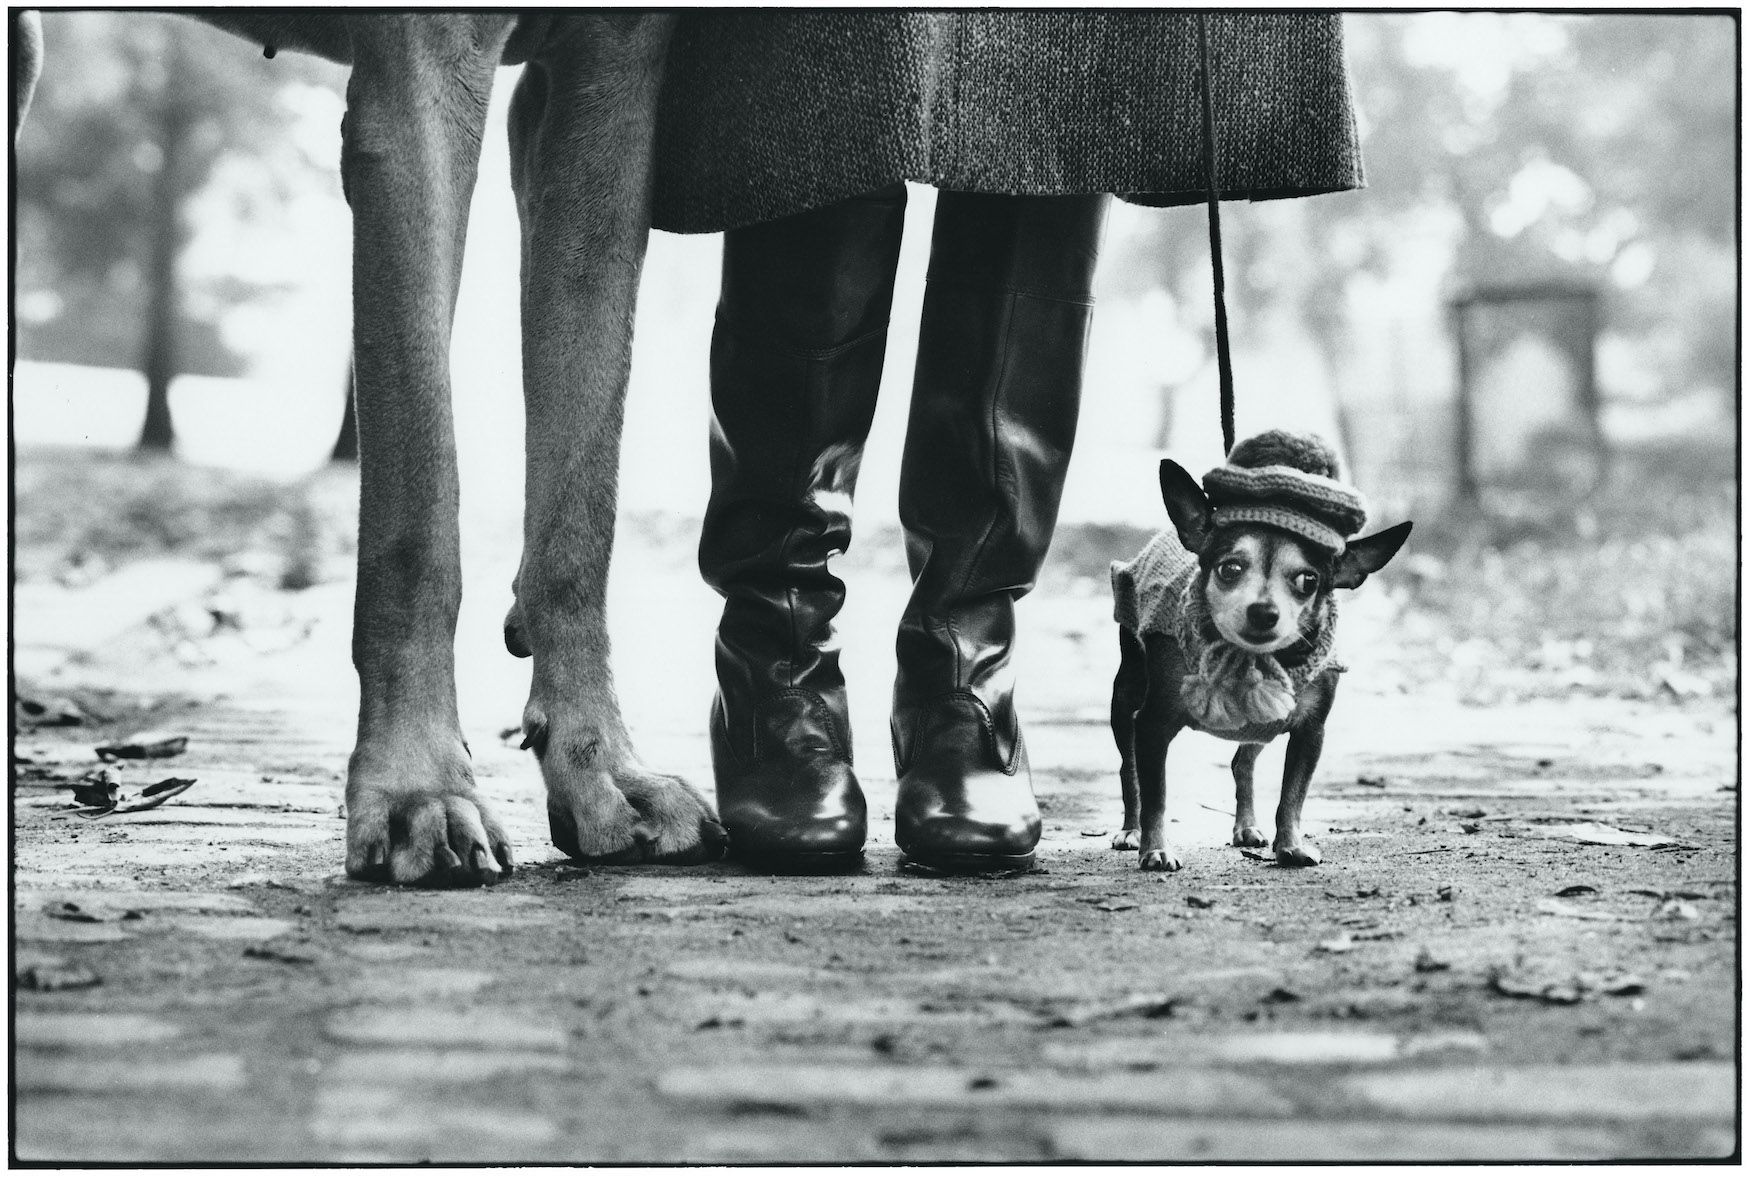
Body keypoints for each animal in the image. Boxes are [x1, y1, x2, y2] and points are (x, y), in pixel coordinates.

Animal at [1113, 433, 1414, 870]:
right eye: (1229, 569)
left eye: (1309, 581)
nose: (1264, 611)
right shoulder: (1152, 724)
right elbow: (1157, 794)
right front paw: (1156, 849)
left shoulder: (1310, 733)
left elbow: (1292, 797)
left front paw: (1290, 845)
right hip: (1126, 697)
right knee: (1129, 769)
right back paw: (1130, 830)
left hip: (1259, 725)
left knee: (1243, 764)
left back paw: (1246, 827)